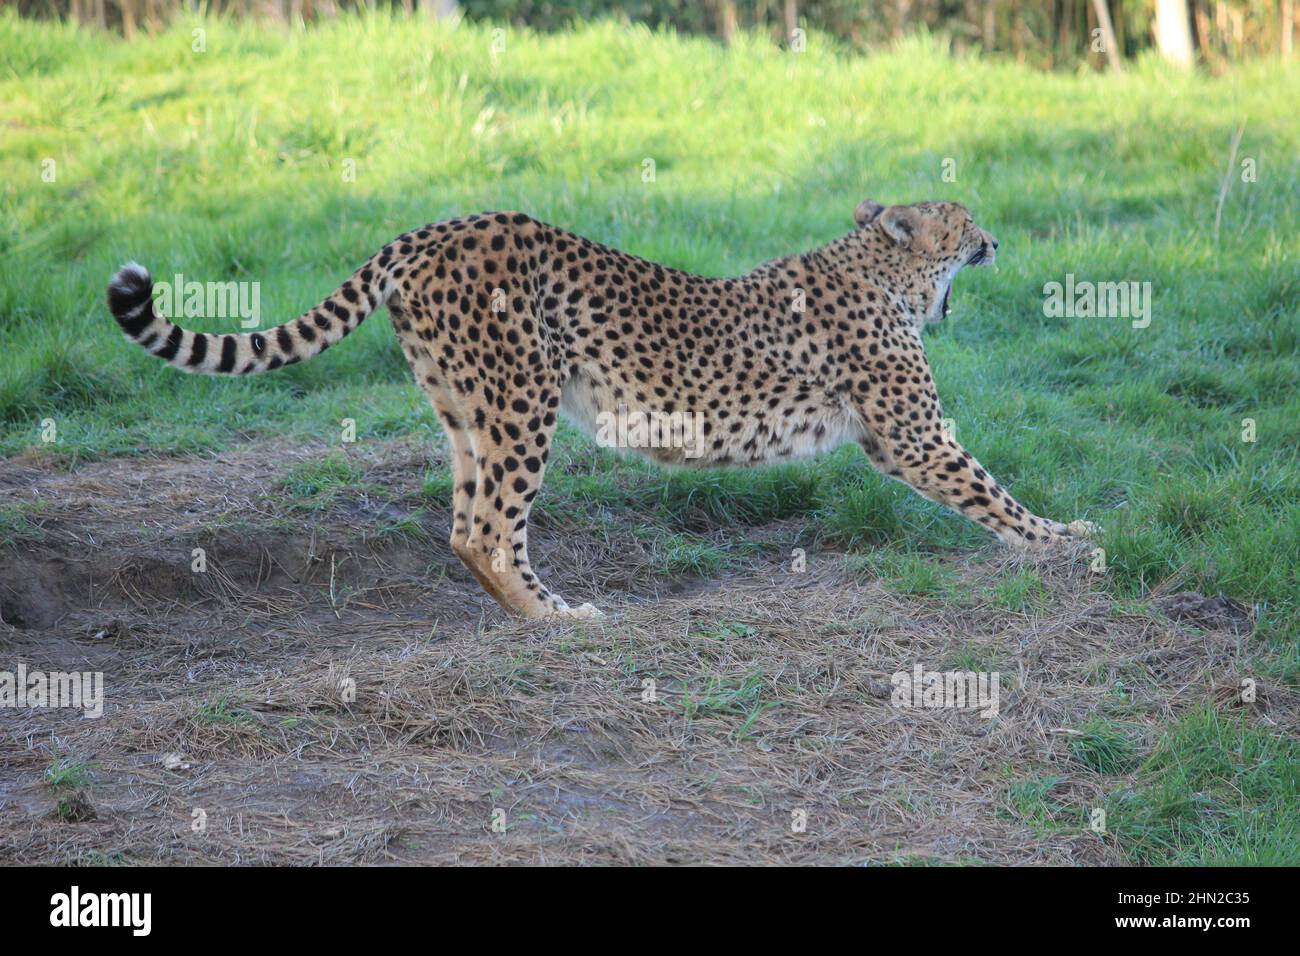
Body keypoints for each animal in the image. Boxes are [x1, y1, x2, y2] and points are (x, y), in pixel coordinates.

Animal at [106, 201, 1092, 621]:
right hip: (523, 400)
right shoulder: (914, 437)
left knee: (466, 525)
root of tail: (435, 228)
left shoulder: (898, 440)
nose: (995, 240)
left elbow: (985, 488)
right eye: (962, 219)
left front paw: (1058, 535)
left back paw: (533, 611)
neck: (885, 272)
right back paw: (555, 620)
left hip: (467, 411)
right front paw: (1063, 539)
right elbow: (991, 490)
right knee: (489, 530)